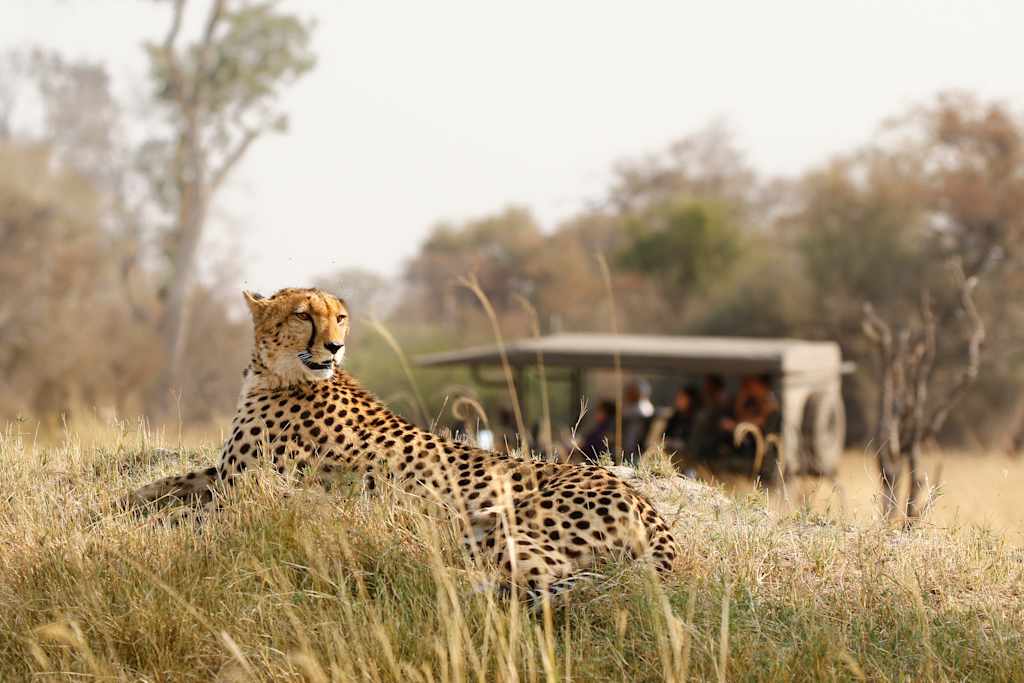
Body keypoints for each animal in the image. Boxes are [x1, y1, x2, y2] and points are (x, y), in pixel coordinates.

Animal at [129, 287, 679, 603]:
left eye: (340, 317)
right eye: (304, 316)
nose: (335, 346)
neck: (277, 373)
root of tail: (645, 503)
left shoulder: (251, 490)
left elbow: (185, 514)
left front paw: (140, 525)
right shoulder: (225, 474)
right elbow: (164, 484)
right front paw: (122, 503)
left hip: (488, 524)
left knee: (552, 580)